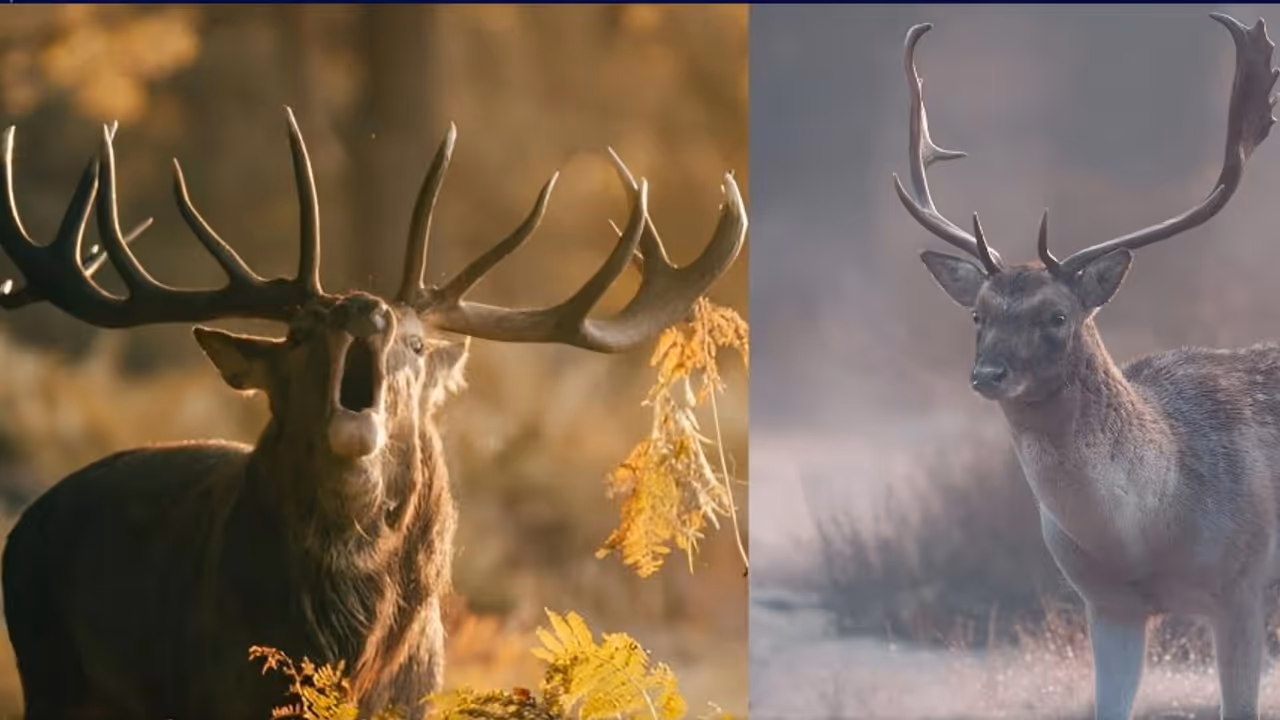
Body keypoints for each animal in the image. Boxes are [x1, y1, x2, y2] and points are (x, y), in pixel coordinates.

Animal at [0, 109, 746, 719]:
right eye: (299, 334)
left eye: (416, 344)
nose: (365, 307)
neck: (346, 651)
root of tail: (26, 523)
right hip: (47, 670)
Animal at [892, 13, 1280, 720]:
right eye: (978, 315)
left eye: (1057, 315)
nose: (988, 375)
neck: (1146, 536)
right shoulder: (1106, 605)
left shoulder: (1244, 585)